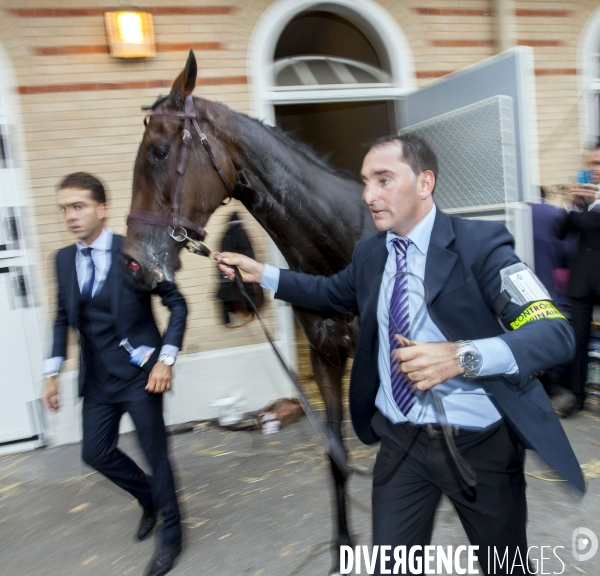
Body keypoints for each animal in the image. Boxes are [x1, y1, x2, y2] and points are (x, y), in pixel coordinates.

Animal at [122, 51, 376, 572]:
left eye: (159, 151)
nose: (133, 262)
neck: (340, 251)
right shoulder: (326, 359)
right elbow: (337, 455)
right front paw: (343, 545)